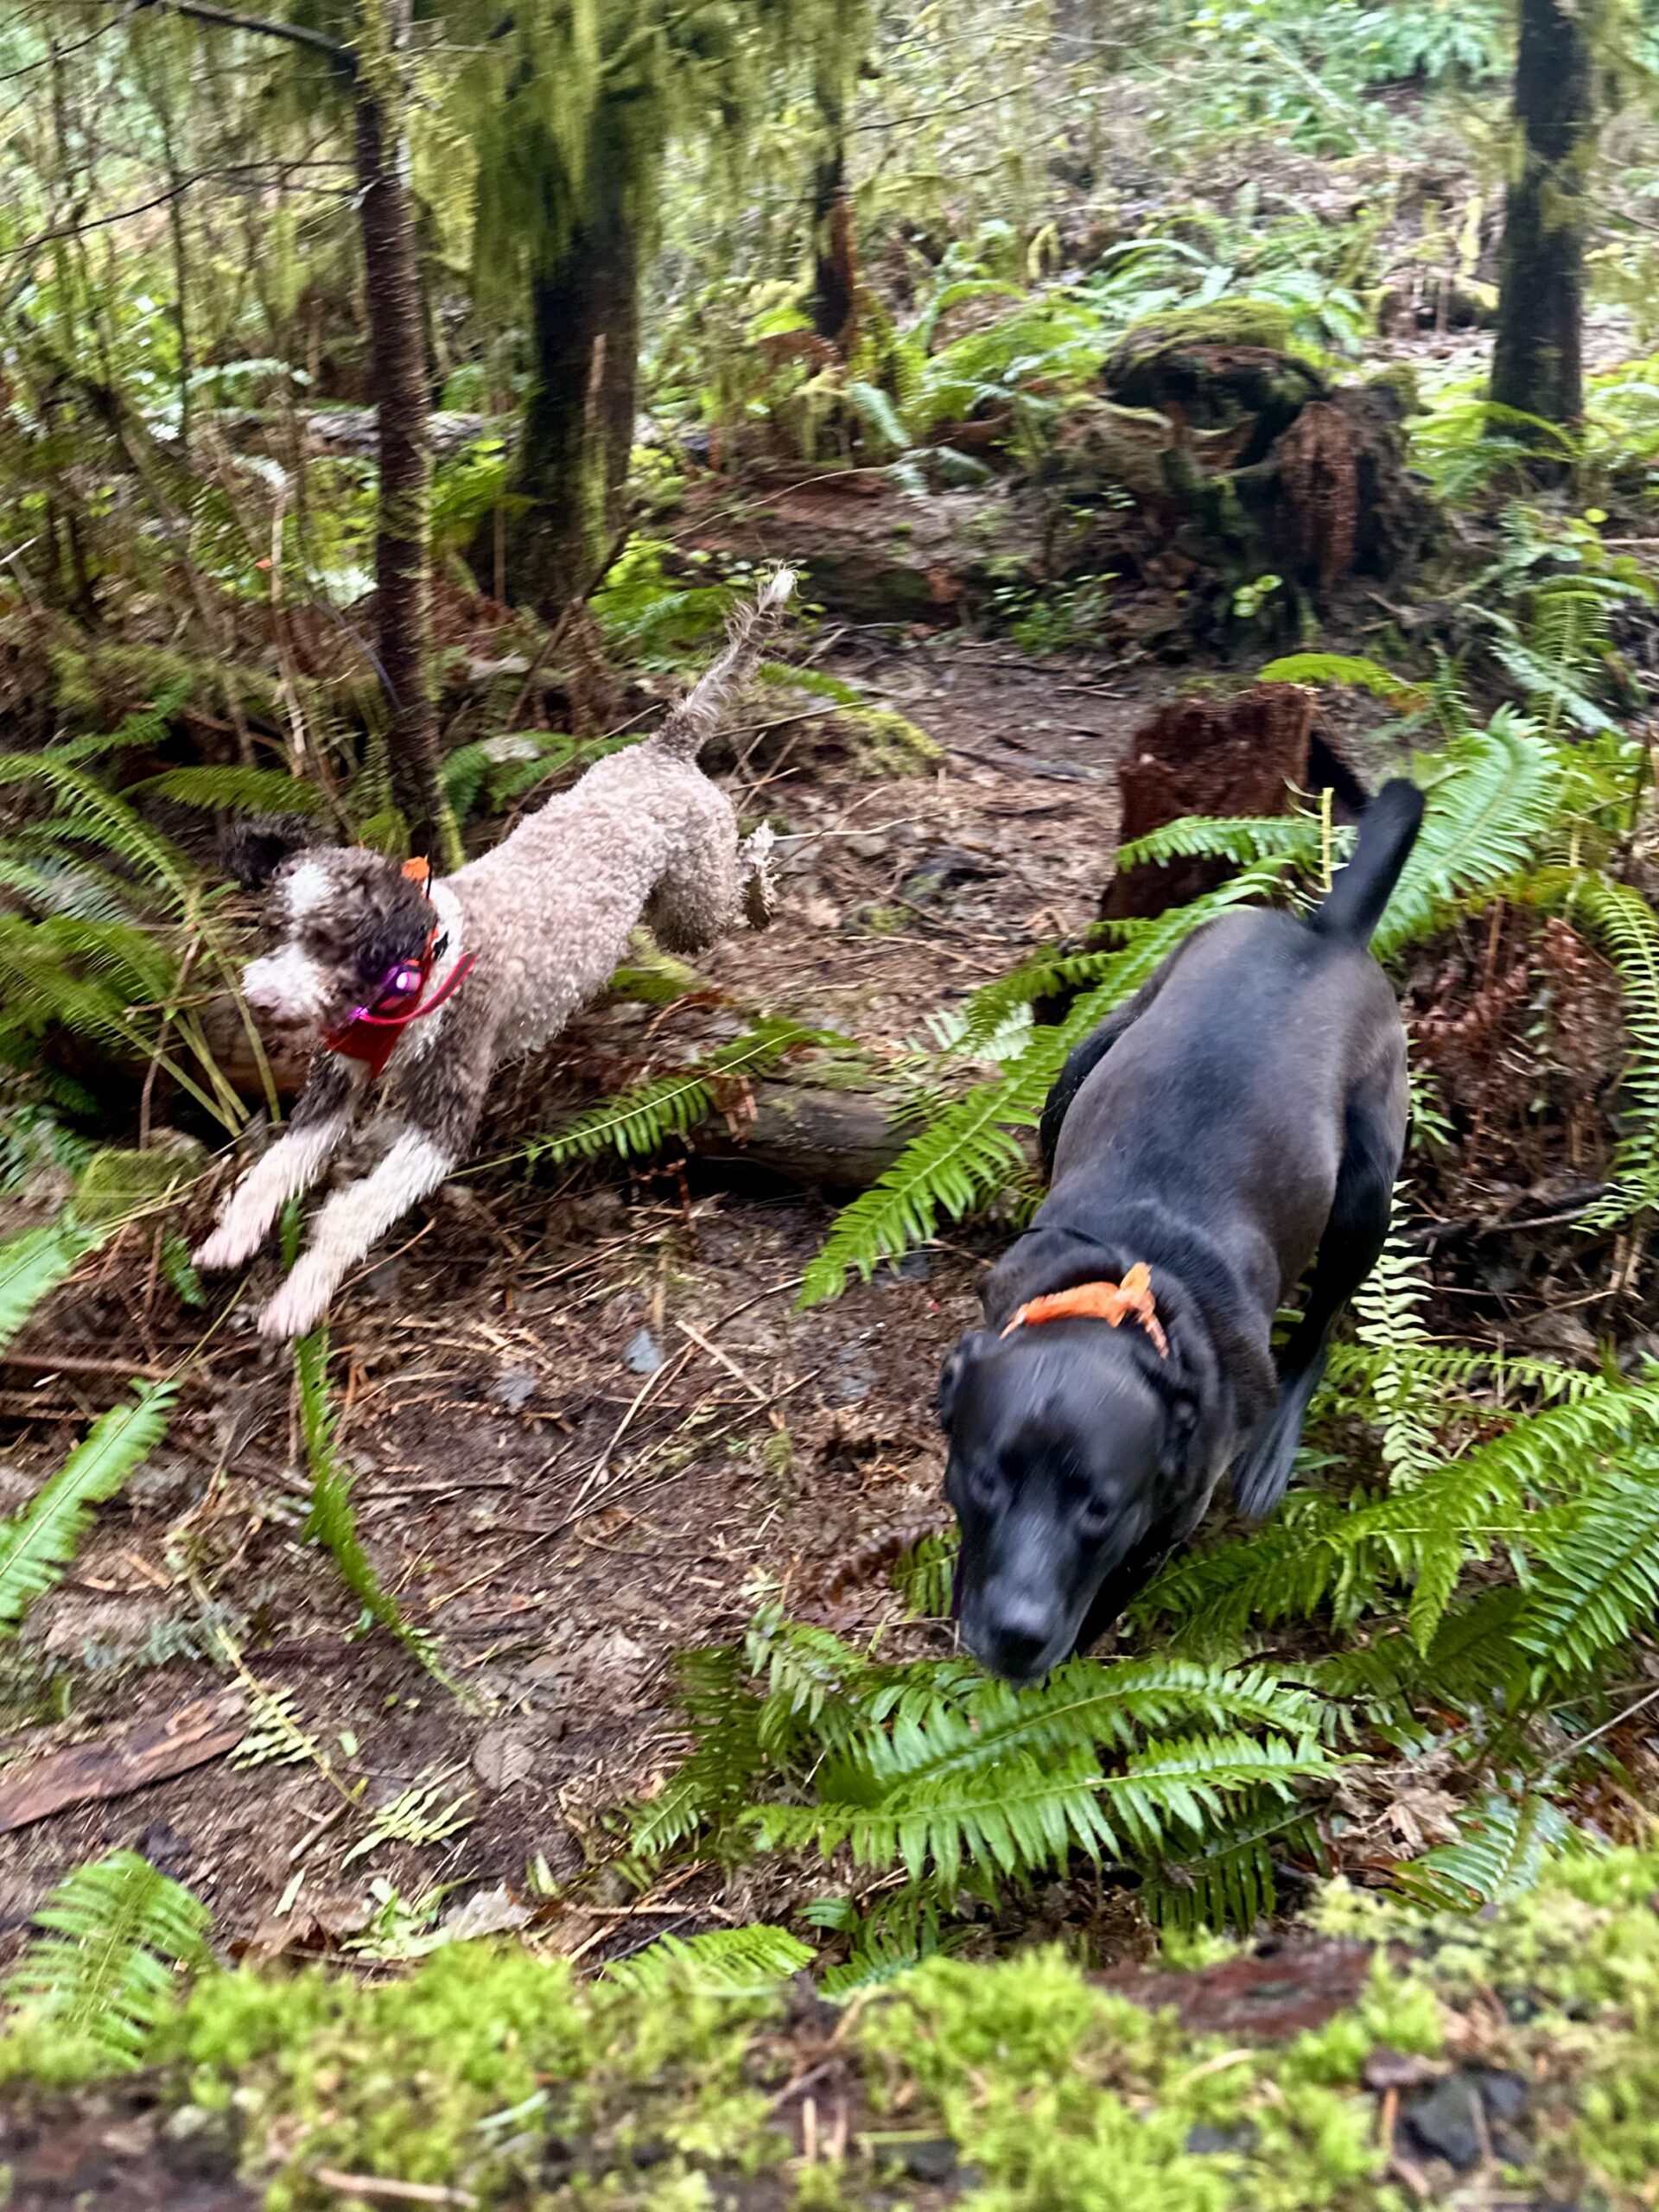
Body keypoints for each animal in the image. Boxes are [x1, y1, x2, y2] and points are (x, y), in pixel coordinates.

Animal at [194, 566, 791, 1327]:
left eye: (333, 942)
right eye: (276, 930)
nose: (264, 1002)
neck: (418, 978)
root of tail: (665, 746)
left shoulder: (444, 1113)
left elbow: (353, 1213)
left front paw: (300, 1296)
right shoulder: (335, 1083)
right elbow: (275, 1166)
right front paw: (233, 1234)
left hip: (690, 905)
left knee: (736, 882)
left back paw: (764, 879)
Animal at [942, 779, 1424, 1672]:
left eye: (1100, 1509)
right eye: (986, 1478)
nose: (1017, 1632)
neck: (1123, 1289)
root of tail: (1326, 935)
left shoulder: (1157, 1538)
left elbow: (1099, 1609)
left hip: (1367, 1189)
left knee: (1322, 1323)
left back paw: (1272, 1449)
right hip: (1082, 1061)